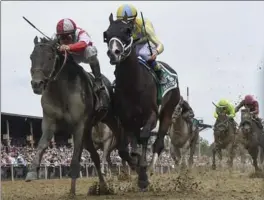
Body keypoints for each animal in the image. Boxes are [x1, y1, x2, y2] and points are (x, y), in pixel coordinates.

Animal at [25, 36, 122, 195]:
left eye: (50, 57)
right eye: (31, 57)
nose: (36, 84)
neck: (61, 90)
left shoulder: (79, 125)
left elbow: (76, 158)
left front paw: (72, 191)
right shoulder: (50, 121)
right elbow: (42, 145)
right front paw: (32, 172)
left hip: (111, 119)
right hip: (88, 133)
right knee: (95, 156)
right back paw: (103, 187)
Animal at [103, 13, 182, 189]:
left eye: (127, 31)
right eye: (106, 34)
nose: (114, 53)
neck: (133, 85)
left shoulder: (151, 115)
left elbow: (145, 137)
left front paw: (143, 175)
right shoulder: (125, 120)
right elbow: (124, 150)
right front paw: (136, 168)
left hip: (167, 112)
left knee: (158, 143)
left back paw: (151, 169)